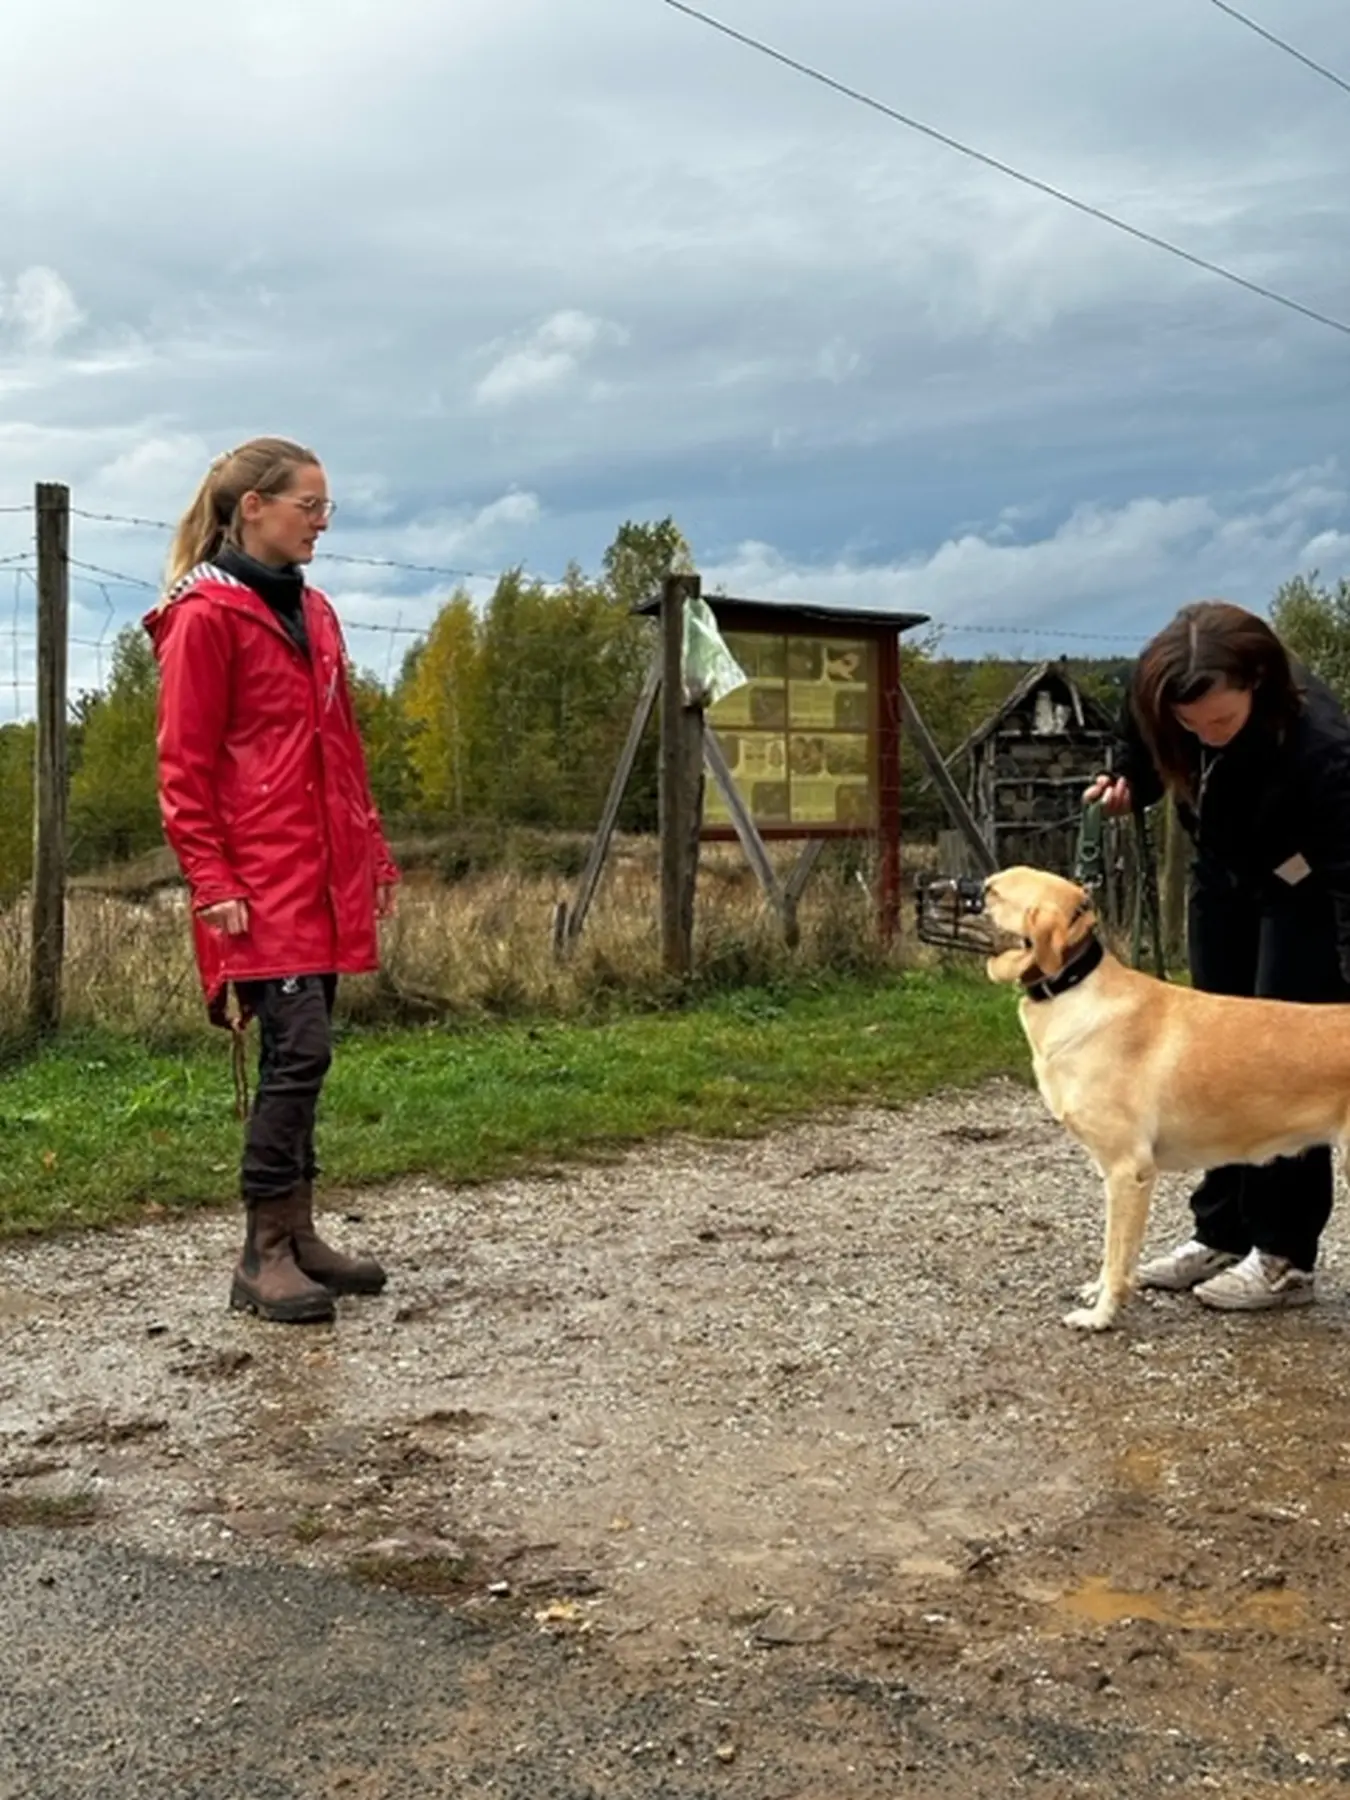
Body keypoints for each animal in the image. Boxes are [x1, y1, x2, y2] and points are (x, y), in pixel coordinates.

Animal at [979, 864, 1350, 1332]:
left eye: (990, 892)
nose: (947, 888)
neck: (1072, 988)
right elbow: (1114, 1257)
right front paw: (1098, 1294)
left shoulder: (1129, 1171)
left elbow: (1116, 1256)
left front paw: (1100, 1315)